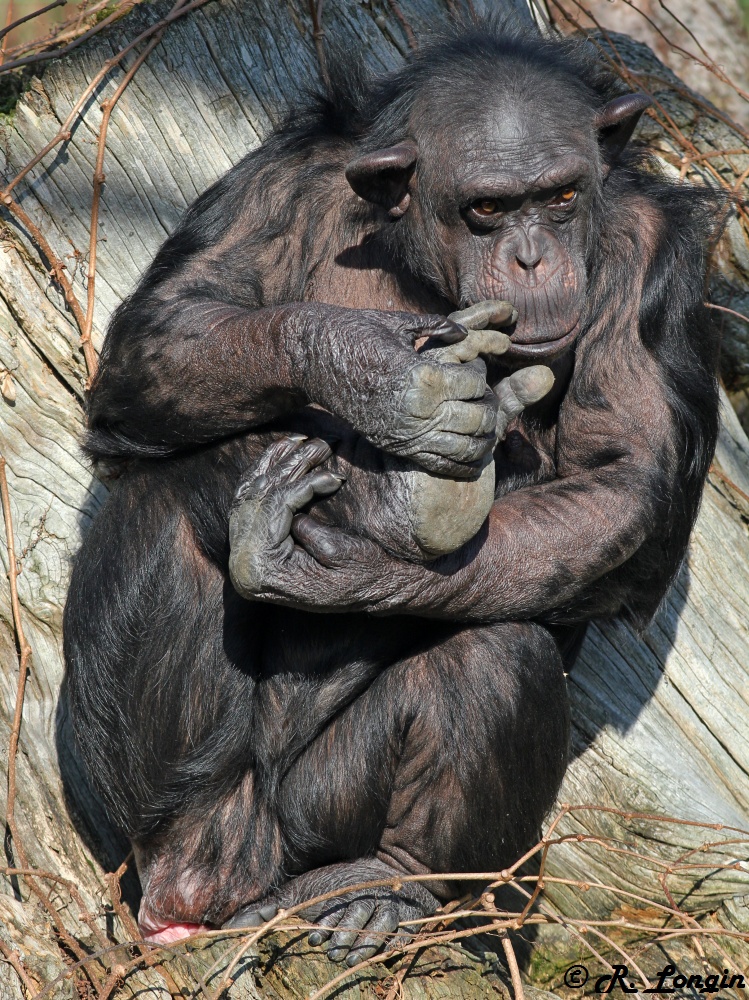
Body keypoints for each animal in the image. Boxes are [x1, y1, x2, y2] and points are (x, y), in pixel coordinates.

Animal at [62, 19, 720, 960]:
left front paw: (364, 564)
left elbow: (620, 476)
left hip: (321, 814)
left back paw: (389, 887)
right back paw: (179, 846)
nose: (532, 255)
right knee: (165, 487)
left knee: (493, 648)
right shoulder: (273, 182)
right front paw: (378, 375)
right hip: (206, 814)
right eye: (487, 209)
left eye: (561, 197)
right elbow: (168, 328)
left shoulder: (650, 256)